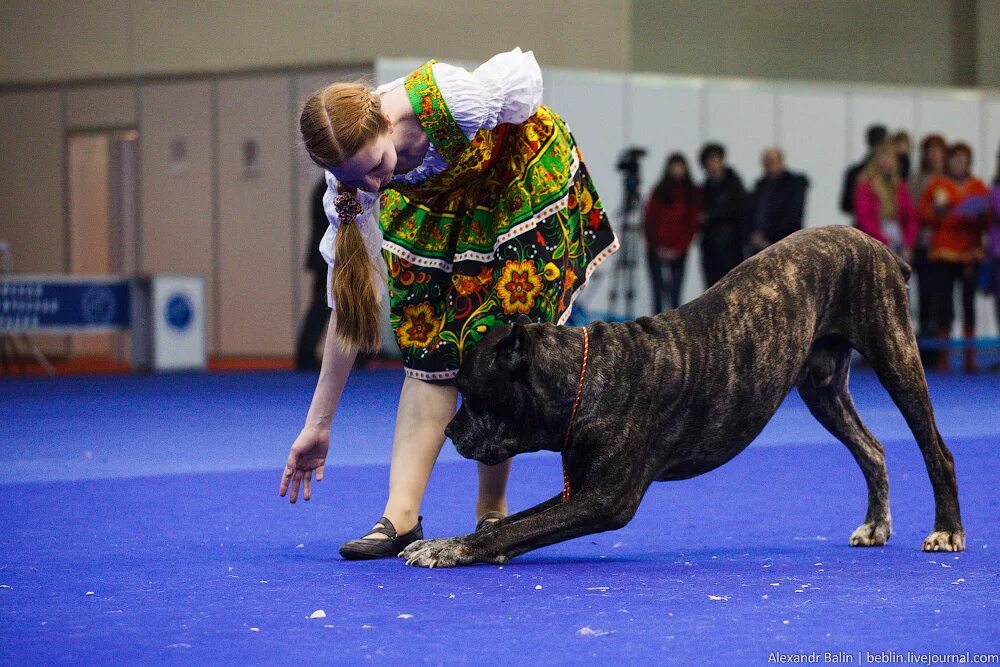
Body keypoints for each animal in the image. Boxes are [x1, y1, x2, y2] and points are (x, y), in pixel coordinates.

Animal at [402, 227, 964, 568]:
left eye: (470, 393)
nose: (449, 430)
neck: (583, 376)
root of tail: (879, 246)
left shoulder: (604, 499)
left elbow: (511, 530)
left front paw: (451, 550)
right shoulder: (577, 489)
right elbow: (517, 522)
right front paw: (449, 541)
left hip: (896, 358)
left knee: (937, 451)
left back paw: (947, 531)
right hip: (822, 388)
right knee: (872, 449)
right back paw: (876, 524)